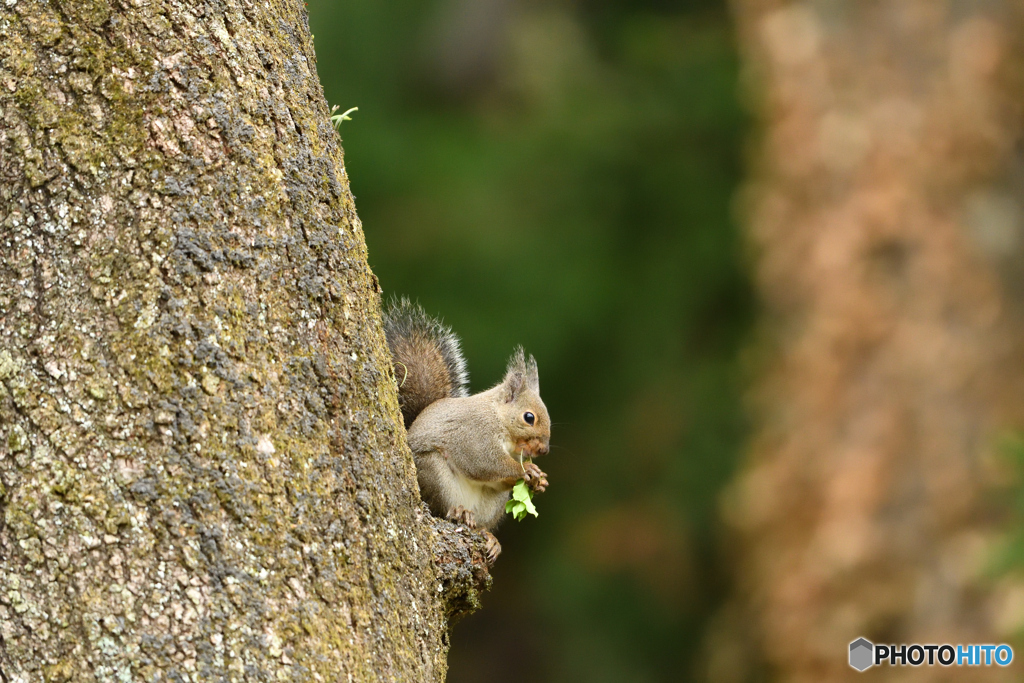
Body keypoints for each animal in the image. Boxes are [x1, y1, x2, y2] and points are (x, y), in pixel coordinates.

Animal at [382, 296, 548, 561]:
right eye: (529, 417)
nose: (544, 450)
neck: (498, 419)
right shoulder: (474, 435)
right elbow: (484, 463)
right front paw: (528, 471)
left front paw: (539, 482)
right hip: (434, 474)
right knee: (442, 508)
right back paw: (459, 512)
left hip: (492, 504)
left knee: (482, 523)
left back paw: (489, 538)